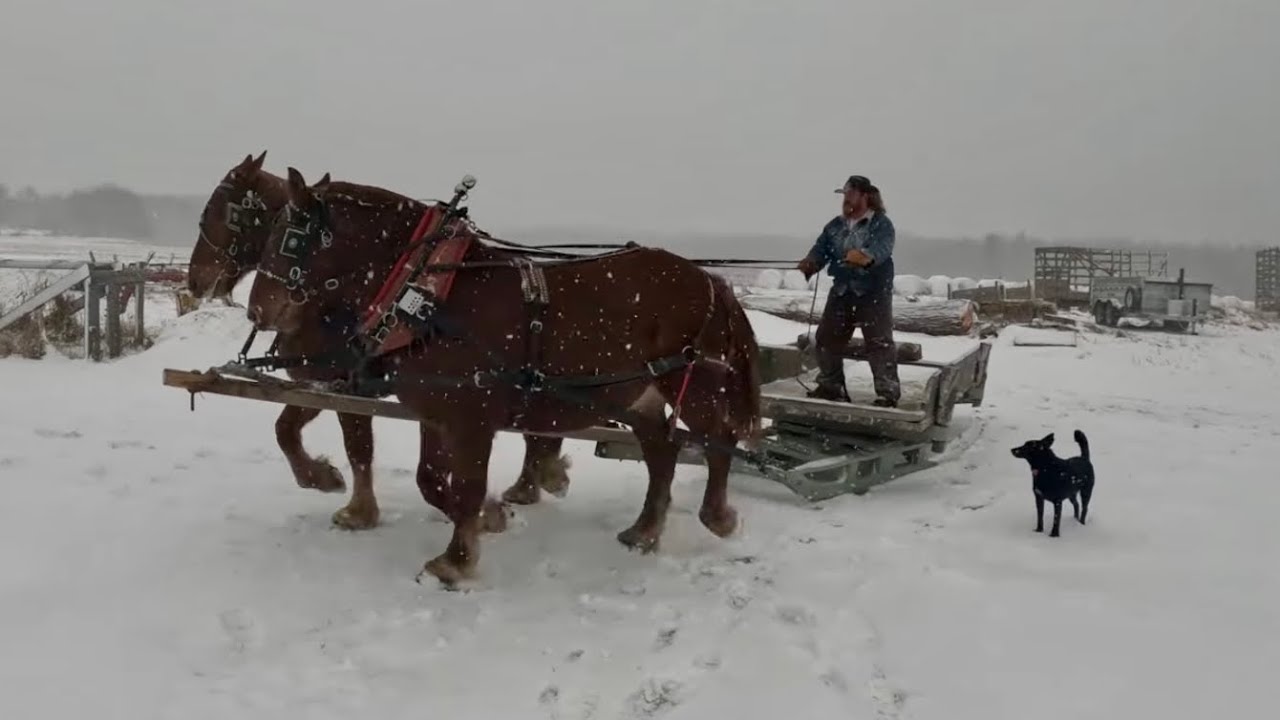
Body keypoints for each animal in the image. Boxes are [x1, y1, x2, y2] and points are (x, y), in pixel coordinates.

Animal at [188, 153, 572, 532]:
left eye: (225, 212)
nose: (194, 281)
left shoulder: (345, 384)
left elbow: (356, 445)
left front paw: (358, 509)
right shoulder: (321, 382)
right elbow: (286, 429)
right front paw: (321, 478)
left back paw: (535, 481)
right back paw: (536, 480)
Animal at [246, 168, 763, 586]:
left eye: (289, 237)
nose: (257, 311)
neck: (428, 292)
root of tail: (710, 280)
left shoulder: (472, 419)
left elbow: (466, 486)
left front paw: (456, 561)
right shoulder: (436, 413)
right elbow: (430, 479)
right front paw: (492, 518)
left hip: (695, 385)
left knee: (719, 439)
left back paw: (718, 516)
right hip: (637, 394)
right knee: (661, 452)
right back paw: (645, 530)